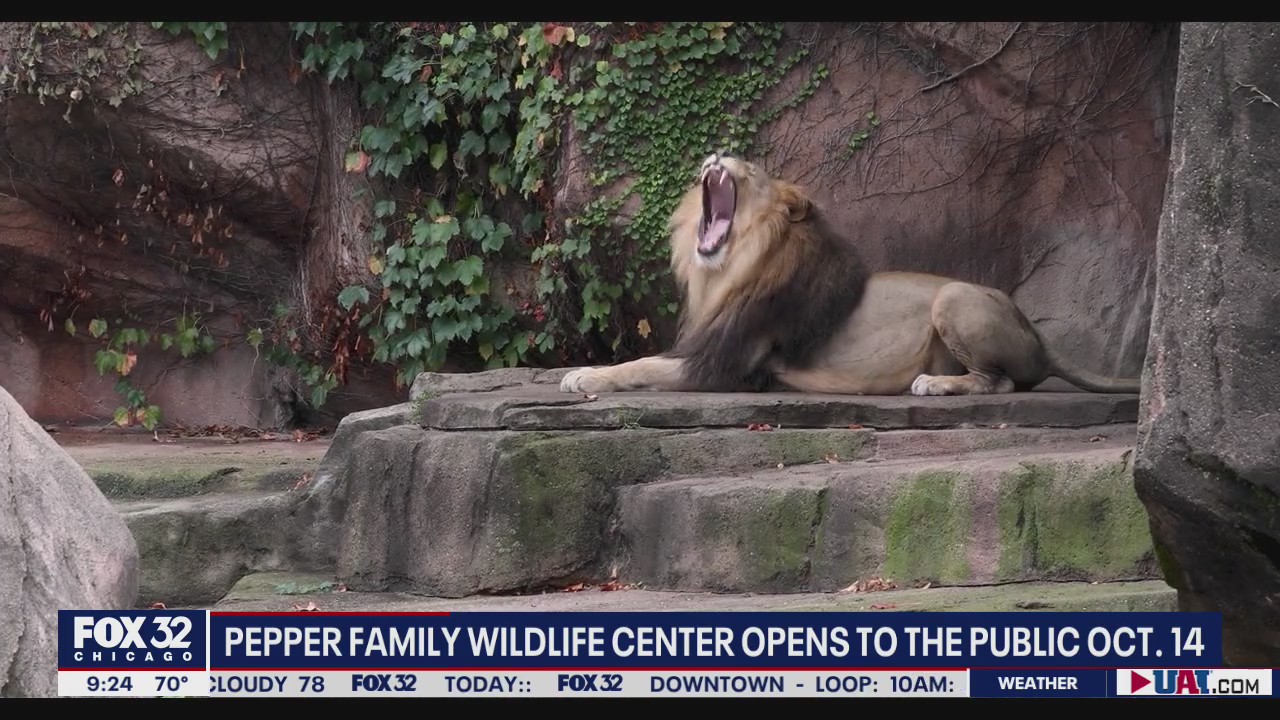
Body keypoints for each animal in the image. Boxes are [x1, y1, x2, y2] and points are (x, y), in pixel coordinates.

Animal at [559, 152, 1141, 398]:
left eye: (750, 169)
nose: (714, 154)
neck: (728, 268)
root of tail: (1036, 332)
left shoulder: (726, 365)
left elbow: (640, 365)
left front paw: (585, 375)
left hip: (953, 298)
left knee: (998, 383)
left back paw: (935, 384)